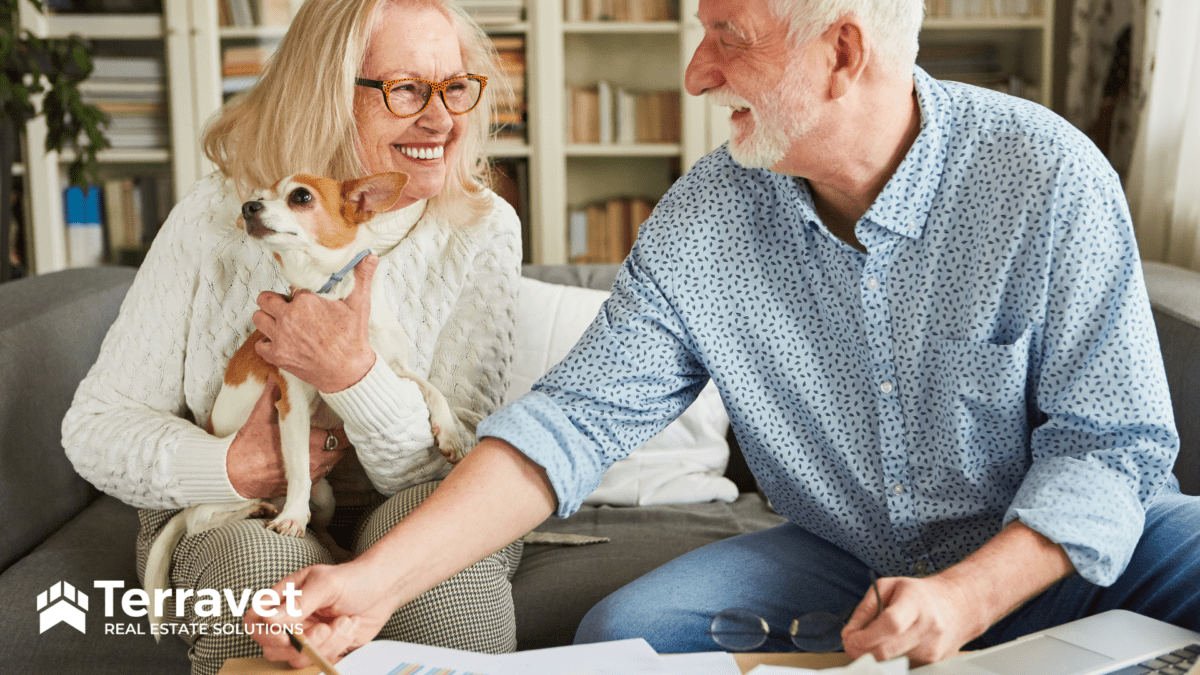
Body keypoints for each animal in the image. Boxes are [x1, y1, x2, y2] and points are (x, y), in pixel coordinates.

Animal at [147, 170, 465, 634]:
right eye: (258, 196)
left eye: (300, 197)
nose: (248, 207)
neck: (330, 292)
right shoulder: (292, 405)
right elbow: (297, 466)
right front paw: (295, 517)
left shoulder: (389, 370)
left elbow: (431, 389)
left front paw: (450, 434)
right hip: (223, 499)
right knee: (198, 521)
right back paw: (261, 507)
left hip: (328, 498)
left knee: (320, 523)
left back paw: (334, 548)